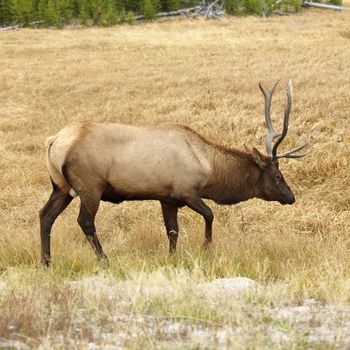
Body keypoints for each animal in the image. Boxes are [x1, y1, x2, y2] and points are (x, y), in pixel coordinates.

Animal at [39, 80, 304, 266]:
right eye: (278, 176)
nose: (291, 197)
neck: (210, 169)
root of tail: (54, 141)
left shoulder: (167, 198)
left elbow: (172, 231)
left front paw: (171, 258)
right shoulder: (187, 191)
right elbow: (209, 215)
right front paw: (206, 250)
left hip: (61, 186)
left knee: (45, 215)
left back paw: (46, 262)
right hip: (89, 186)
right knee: (85, 221)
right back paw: (104, 260)